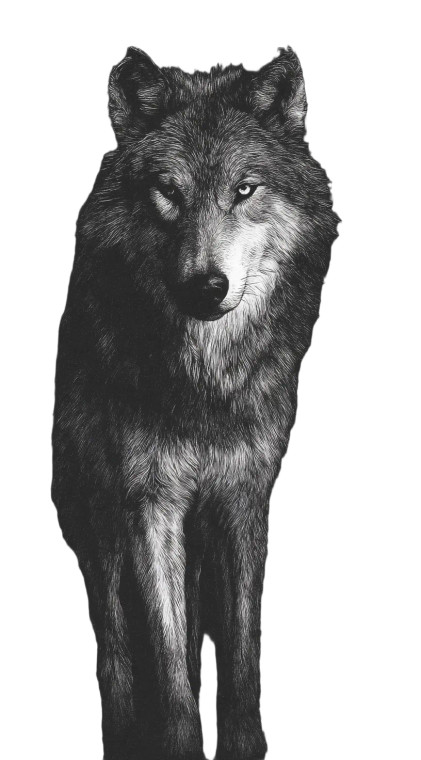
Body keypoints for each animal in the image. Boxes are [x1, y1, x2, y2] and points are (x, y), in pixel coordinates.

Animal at [52, 46, 339, 760]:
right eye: (169, 192)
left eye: (245, 189)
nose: (206, 286)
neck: (204, 385)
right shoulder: (147, 505)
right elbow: (166, 663)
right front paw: (175, 740)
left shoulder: (244, 497)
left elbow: (240, 653)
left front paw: (241, 743)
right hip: (100, 533)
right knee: (118, 656)